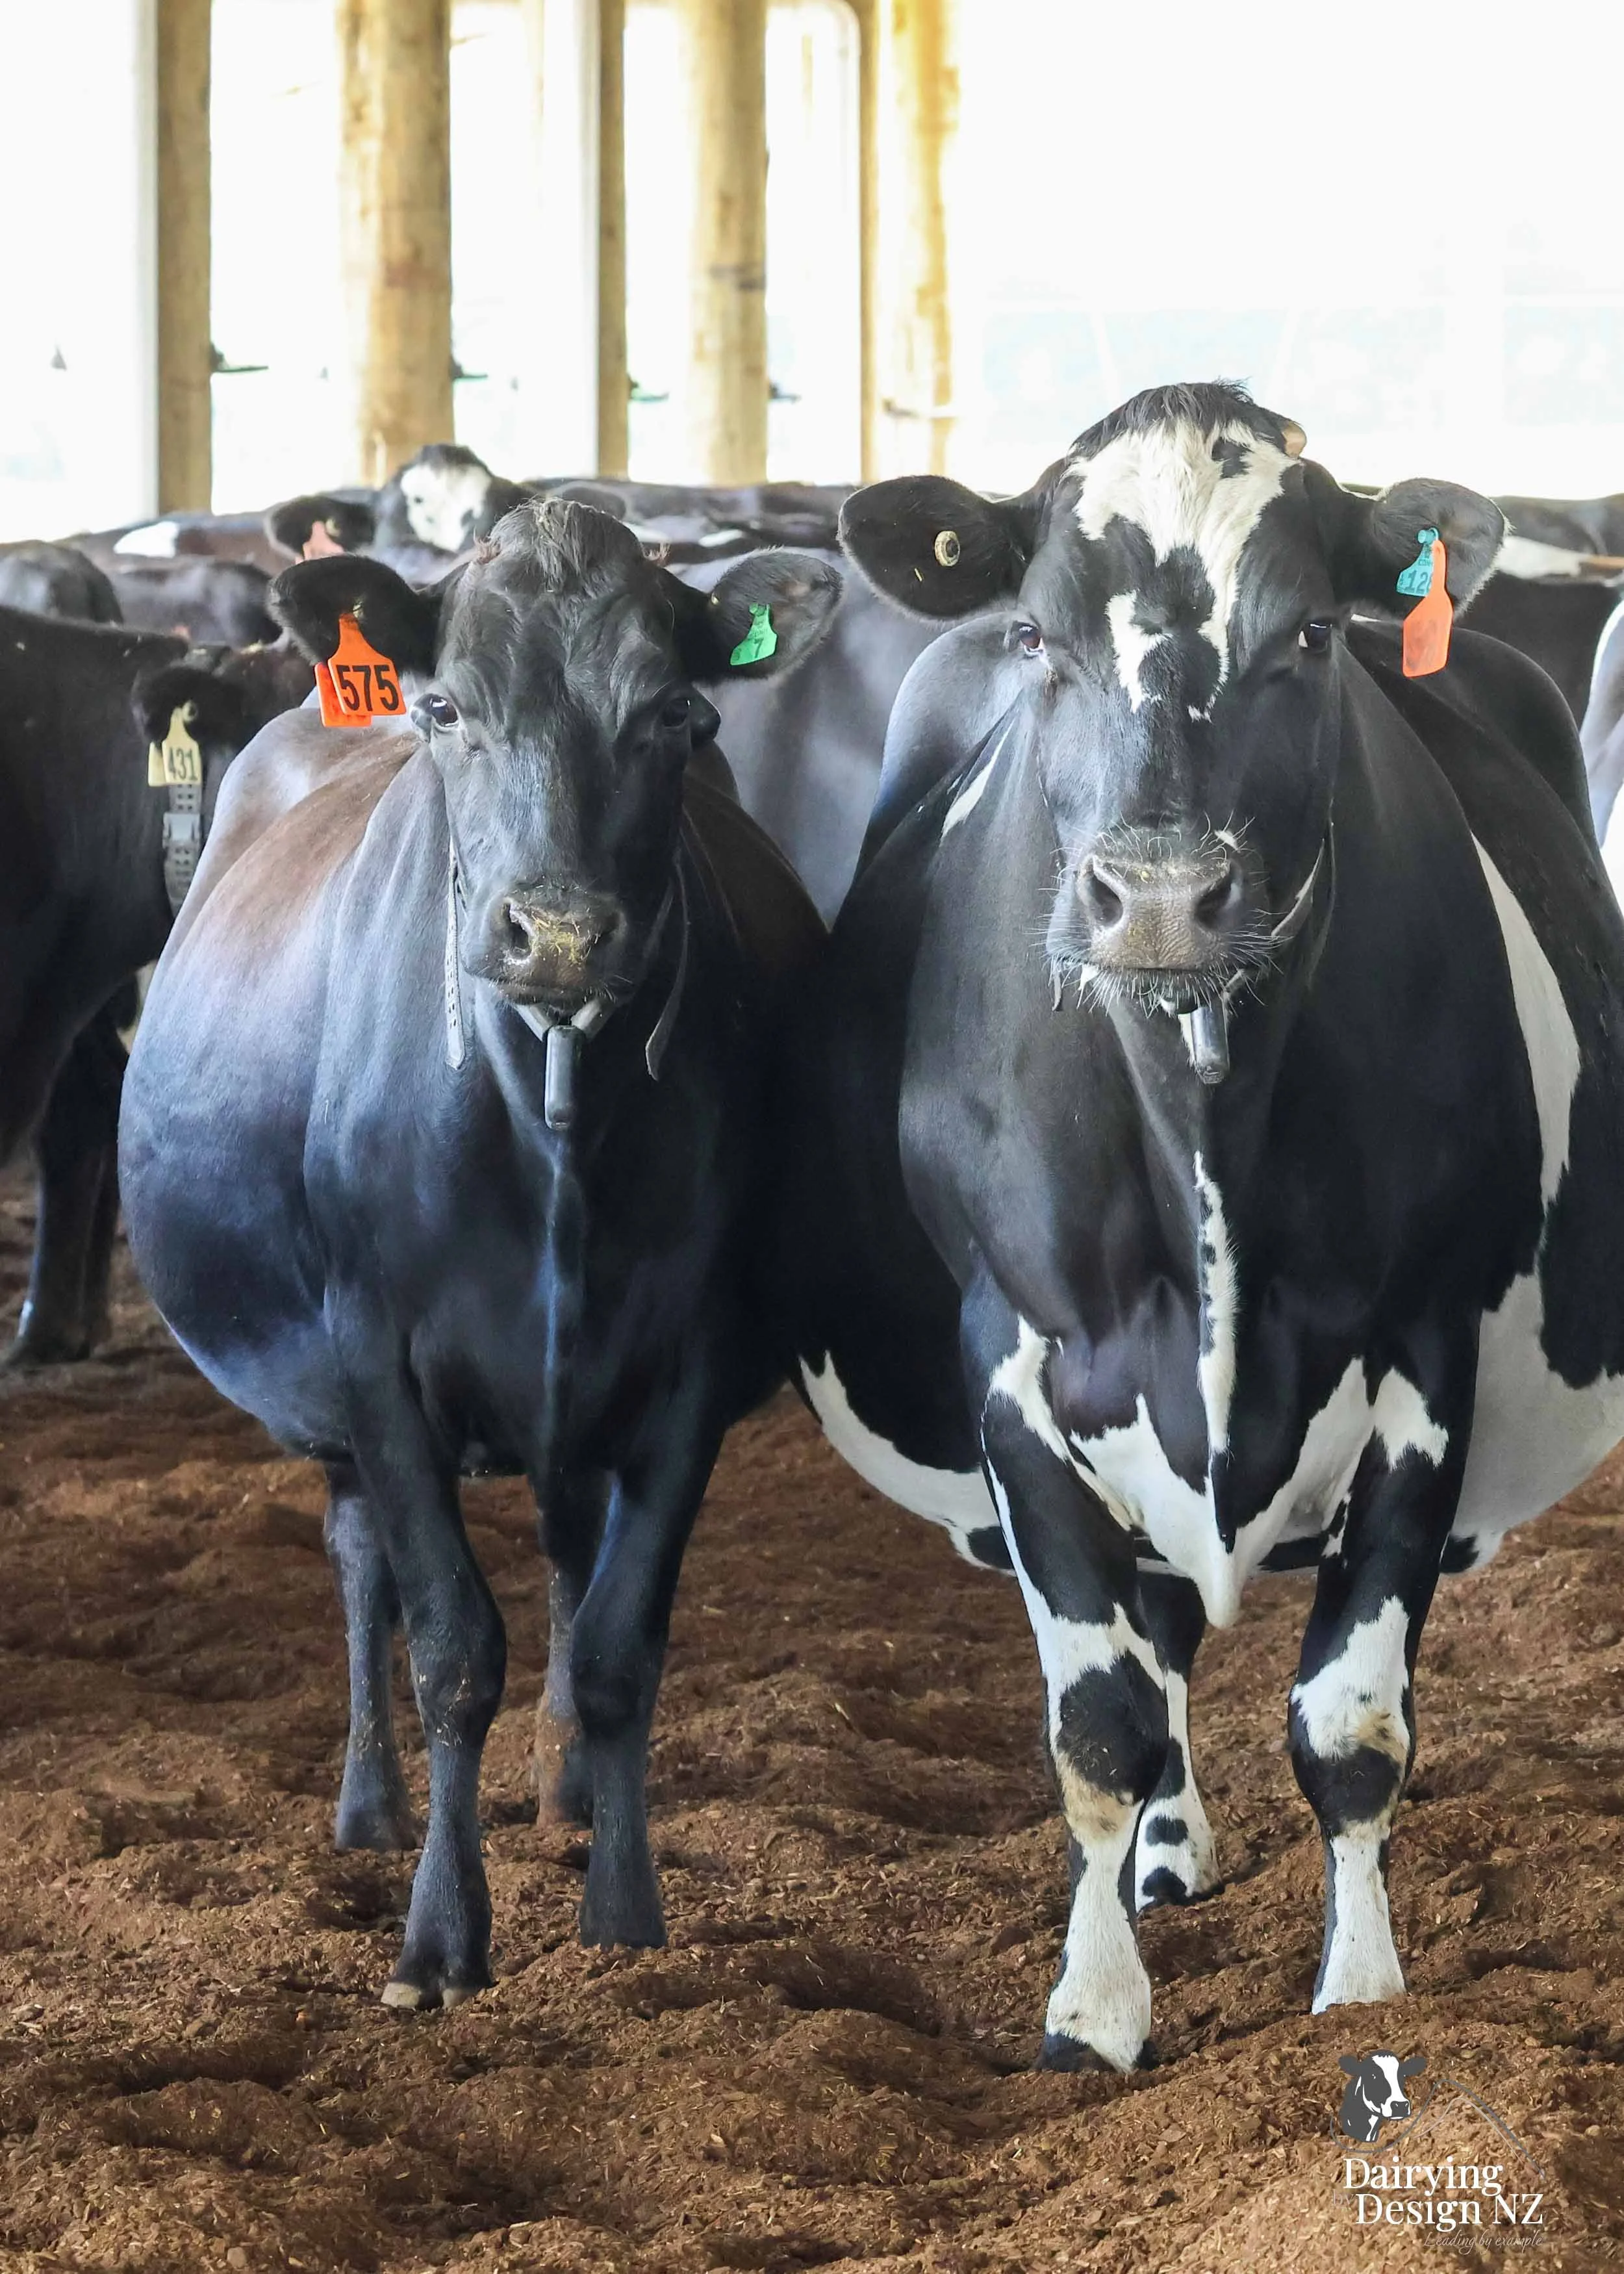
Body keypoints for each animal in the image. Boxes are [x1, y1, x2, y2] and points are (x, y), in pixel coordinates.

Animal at [117, 501, 837, 2008]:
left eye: (677, 715)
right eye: (446, 708)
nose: (556, 930)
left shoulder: (690, 1369)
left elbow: (620, 1643)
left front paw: (622, 1907)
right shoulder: (376, 1356)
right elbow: (450, 1646)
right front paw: (441, 1935)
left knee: (565, 1554)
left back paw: (564, 1788)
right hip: (332, 1392)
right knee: (362, 1565)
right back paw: (369, 1807)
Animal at [770, 382, 1624, 2072]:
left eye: (1314, 635)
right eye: (1036, 635)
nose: (1162, 899)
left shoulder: (1427, 1351)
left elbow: (1350, 1719)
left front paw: (1359, 1988)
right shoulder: (1016, 1366)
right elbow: (1098, 1721)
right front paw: (1092, 2012)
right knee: (1150, 1657)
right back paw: (1165, 1856)